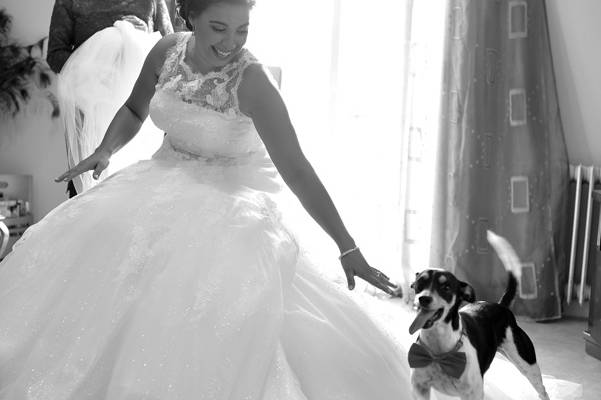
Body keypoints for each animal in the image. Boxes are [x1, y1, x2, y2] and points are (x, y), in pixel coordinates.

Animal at [408, 231, 548, 400]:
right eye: (419, 284)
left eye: (446, 287)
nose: (423, 298)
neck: (439, 353)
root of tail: (500, 305)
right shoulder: (420, 388)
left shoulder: (472, 393)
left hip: (527, 363)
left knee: (542, 391)